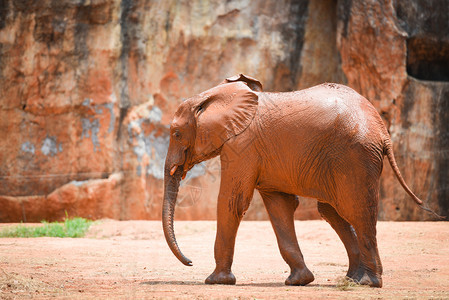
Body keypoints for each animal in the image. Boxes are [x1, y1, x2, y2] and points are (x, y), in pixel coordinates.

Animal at [160, 73, 438, 288]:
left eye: (176, 133)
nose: (190, 262)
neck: (213, 95)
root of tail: (383, 132)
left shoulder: (242, 146)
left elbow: (232, 202)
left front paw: (216, 281)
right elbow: (279, 206)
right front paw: (299, 281)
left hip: (355, 157)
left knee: (356, 211)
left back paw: (369, 282)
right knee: (331, 210)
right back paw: (352, 279)